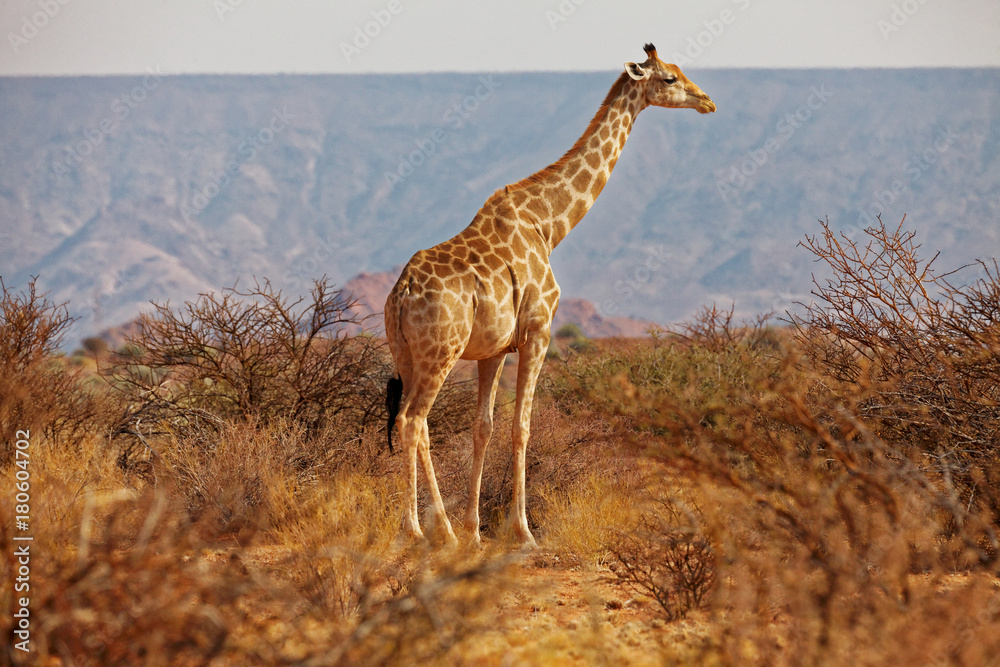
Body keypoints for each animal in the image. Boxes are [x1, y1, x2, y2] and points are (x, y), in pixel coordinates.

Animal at [384, 43, 715, 547]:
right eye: (671, 78)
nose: (707, 101)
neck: (549, 225)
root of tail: (401, 292)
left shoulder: (493, 349)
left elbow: (484, 427)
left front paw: (477, 531)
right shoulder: (538, 331)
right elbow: (522, 426)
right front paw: (522, 532)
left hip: (405, 353)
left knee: (415, 424)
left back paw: (442, 529)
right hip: (440, 351)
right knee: (412, 421)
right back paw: (422, 531)